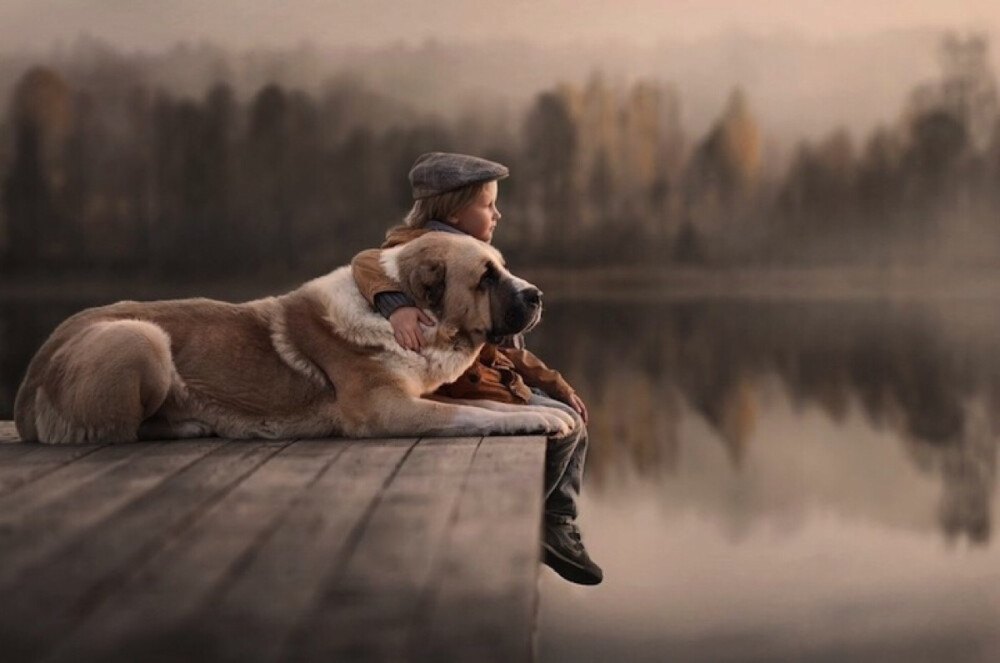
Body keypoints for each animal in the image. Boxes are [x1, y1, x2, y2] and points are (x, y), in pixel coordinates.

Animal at [13, 235, 572, 446]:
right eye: (485, 277)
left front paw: (548, 413)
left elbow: (482, 404)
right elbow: (471, 413)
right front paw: (539, 418)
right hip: (140, 337)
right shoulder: (386, 410)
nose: (538, 294)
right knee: (118, 431)